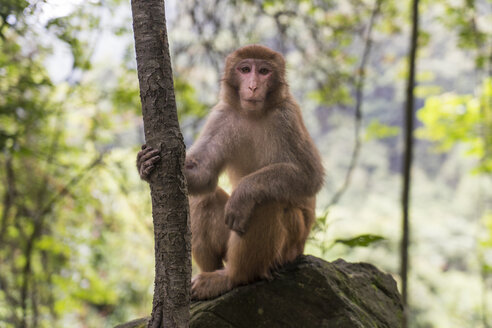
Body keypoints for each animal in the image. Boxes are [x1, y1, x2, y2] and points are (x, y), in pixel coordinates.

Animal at [136, 44, 324, 302]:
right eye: (245, 69)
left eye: (263, 71)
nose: (253, 86)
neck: (253, 114)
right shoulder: (222, 116)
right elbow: (204, 174)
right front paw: (145, 165)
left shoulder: (286, 116)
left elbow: (310, 176)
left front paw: (243, 193)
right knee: (203, 199)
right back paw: (209, 276)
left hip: (289, 248)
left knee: (265, 201)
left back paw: (233, 277)